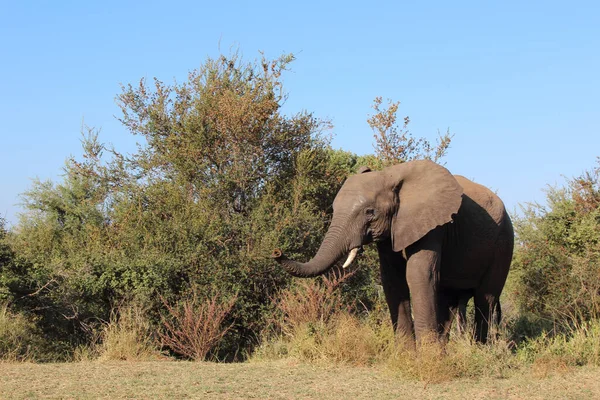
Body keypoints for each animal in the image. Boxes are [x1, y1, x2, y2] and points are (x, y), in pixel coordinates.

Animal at [274, 159, 512, 344]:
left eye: (370, 212)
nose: (277, 252)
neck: (391, 175)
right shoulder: (393, 229)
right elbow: (392, 279)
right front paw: (406, 355)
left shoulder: (433, 225)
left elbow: (418, 275)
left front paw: (426, 361)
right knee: (449, 301)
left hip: (503, 243)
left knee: (485, 299)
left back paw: (479, 350)